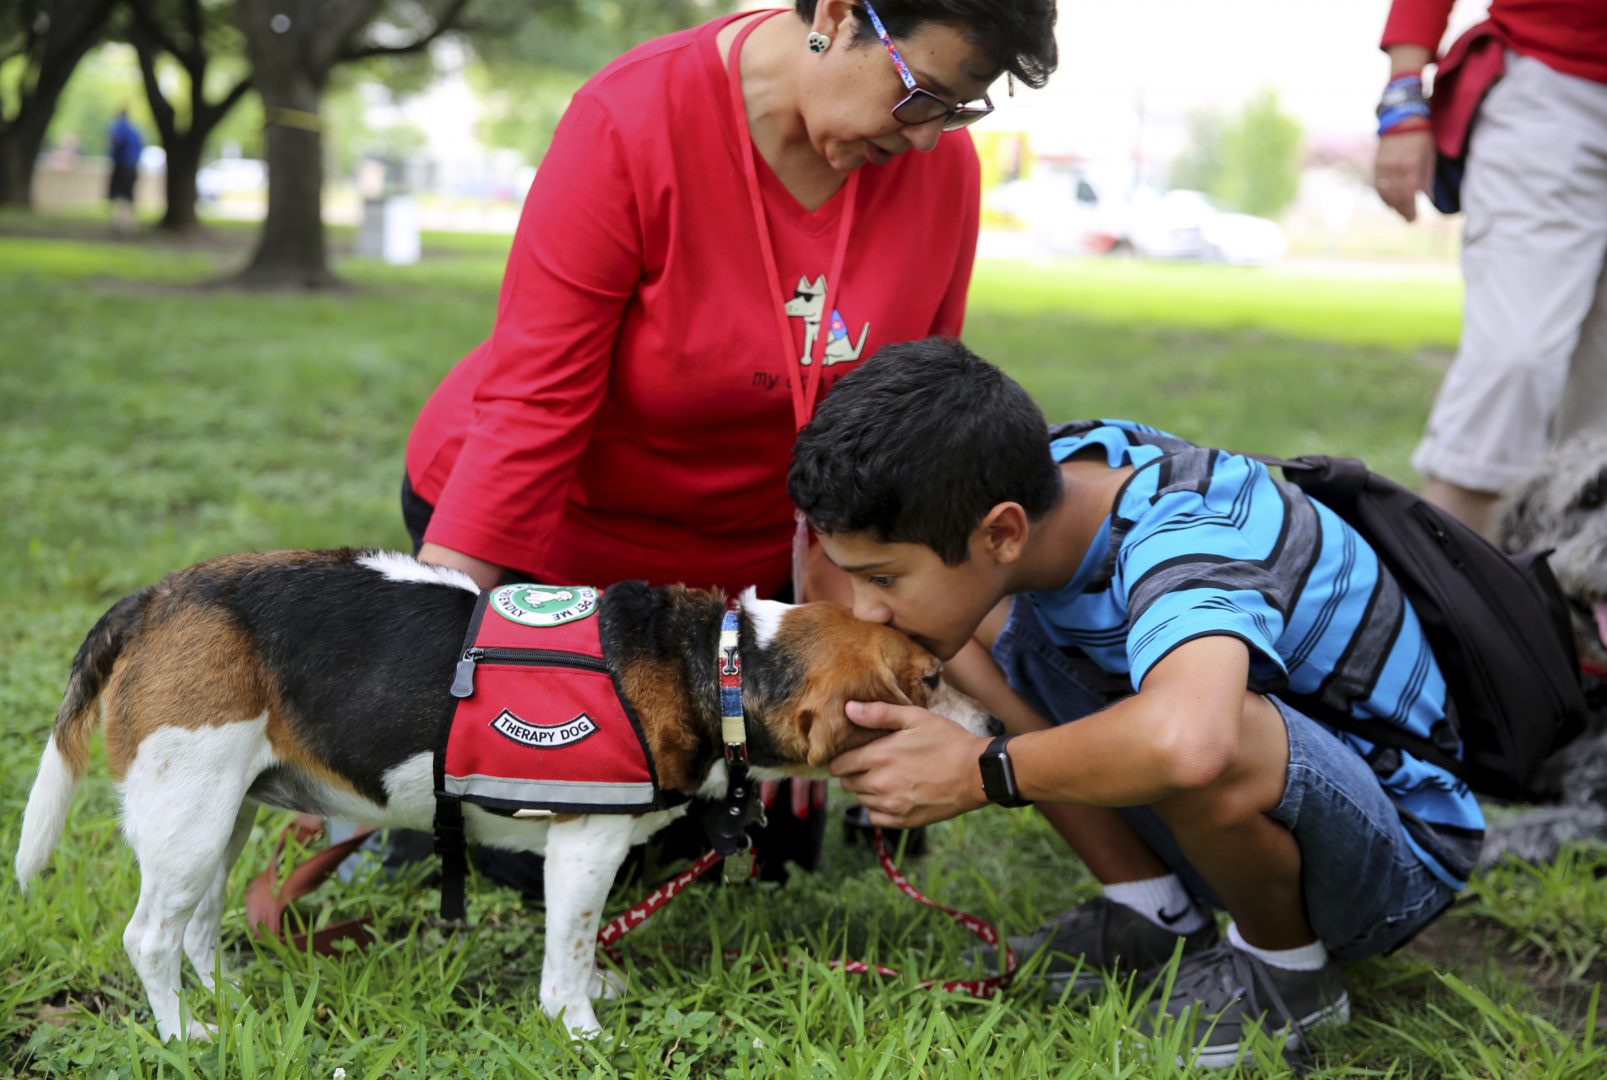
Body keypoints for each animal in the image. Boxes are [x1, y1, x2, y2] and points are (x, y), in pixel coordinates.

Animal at [15, 552, 989, 1041]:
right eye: (928, 677)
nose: (989, 725)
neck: (717, 661)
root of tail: (151, 600)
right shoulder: (587, 845)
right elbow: (569, 951)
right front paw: (580, 1026)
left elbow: (583, 942)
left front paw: (596, 987)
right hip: (191, 812)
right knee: (149, 937)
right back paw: (185, 1033)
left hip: (225, 814)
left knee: (199, 928)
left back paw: (226, 996)